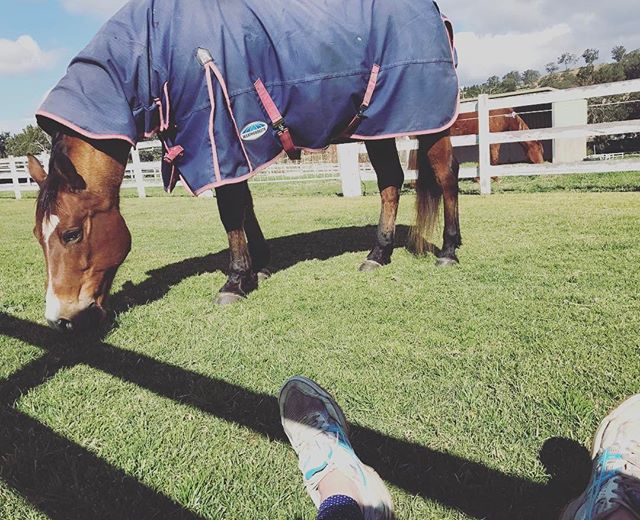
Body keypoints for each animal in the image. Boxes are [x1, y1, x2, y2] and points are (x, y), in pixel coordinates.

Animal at [27, 0, 462, 334]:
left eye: (70, 234)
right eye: (37, 237)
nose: (59, 320)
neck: (156, 50)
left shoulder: (220, 140)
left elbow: (231, 212)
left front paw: (235, 282)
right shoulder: (235, 152)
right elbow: (246, 208)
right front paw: (260, 268)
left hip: (429, 121)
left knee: (445, 176)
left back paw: (448, 251)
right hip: (379, 127)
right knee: (390, 181)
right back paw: (378, 254)